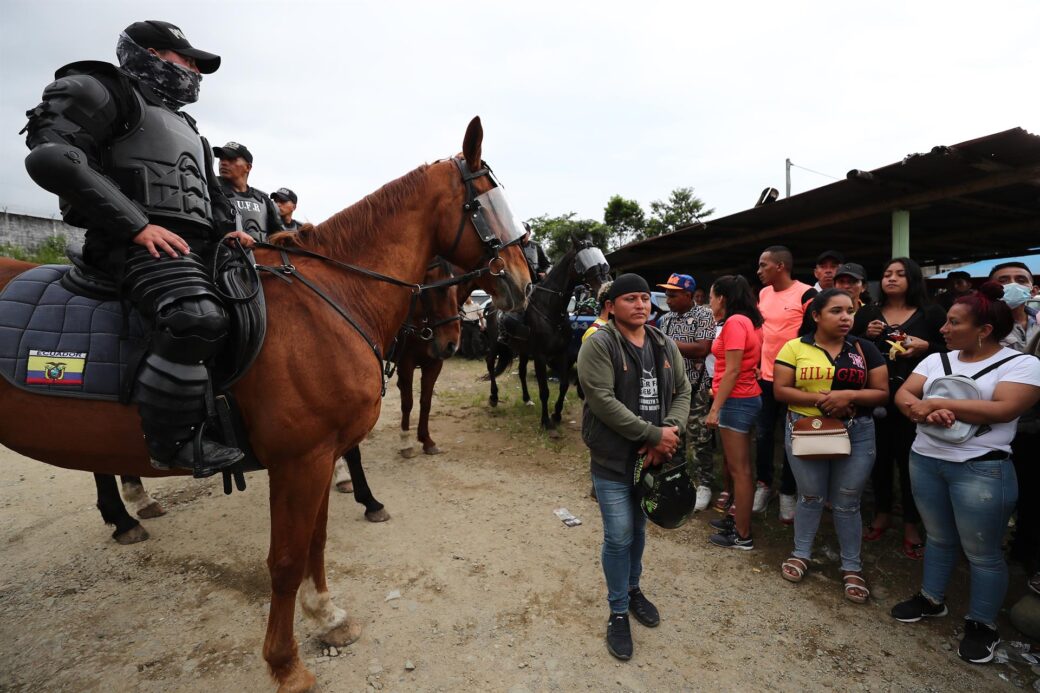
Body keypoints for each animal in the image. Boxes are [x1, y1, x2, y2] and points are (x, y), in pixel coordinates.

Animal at [0, 118, 528, 690]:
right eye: (486, 198)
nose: (523, 281)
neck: (330, 300)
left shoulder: (319, 455)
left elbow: (316, 542)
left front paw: (327, 615)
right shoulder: (300, 460)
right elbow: (287, 559)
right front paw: (285, 662)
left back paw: (128, 511)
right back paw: (126, 514)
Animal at [484, 240, 607, 428]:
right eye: (584, 262)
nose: (605, 286)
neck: (550, 309)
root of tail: (490, 306)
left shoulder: (562, 354)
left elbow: (564, 385)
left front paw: (556, 413)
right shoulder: (541, 357)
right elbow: (544, 390)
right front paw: (545, 421)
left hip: (522, 351)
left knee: (521, 372)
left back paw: (527, 399)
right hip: (496, 344)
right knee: (490, 363)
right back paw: (493, 397)